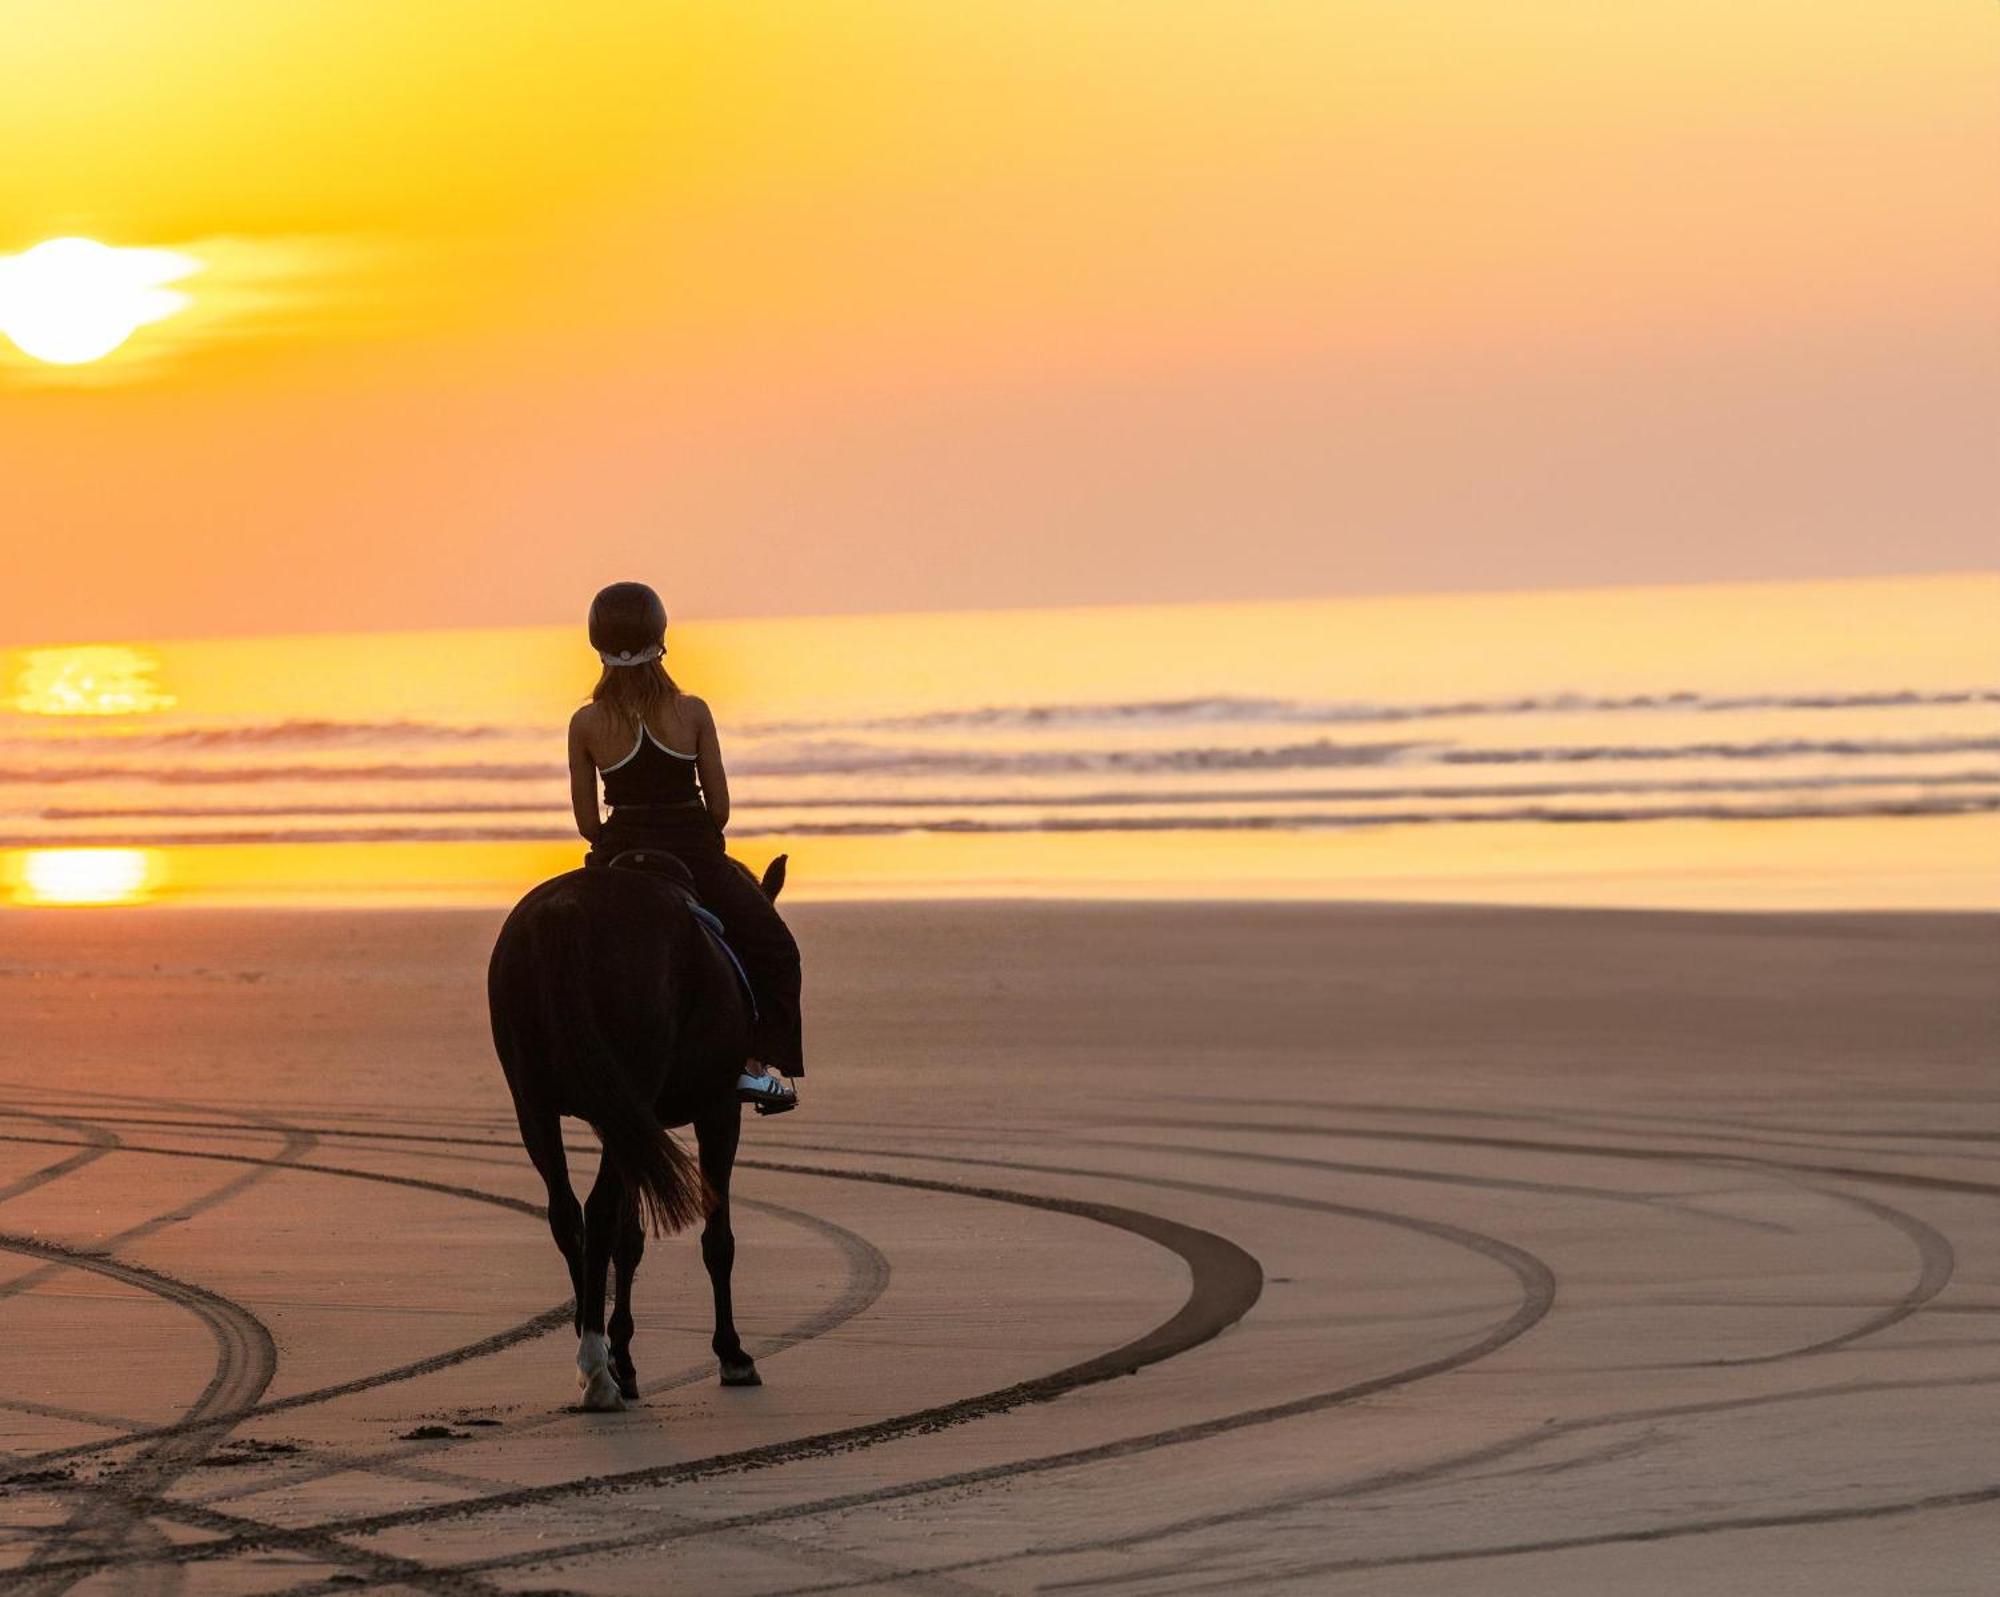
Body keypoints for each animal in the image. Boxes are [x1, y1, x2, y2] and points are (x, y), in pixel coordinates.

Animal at [488, 848, 784, 1416]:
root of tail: (564, 913)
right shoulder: (718, 1111)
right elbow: (717, 1238)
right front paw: (732, 1355)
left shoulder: (624, 1126)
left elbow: (630, 1241)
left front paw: (624, 1357)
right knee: (598, 1212)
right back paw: (597, 1372)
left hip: (535, 1105)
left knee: (568, 1216)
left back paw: (596, 1359)